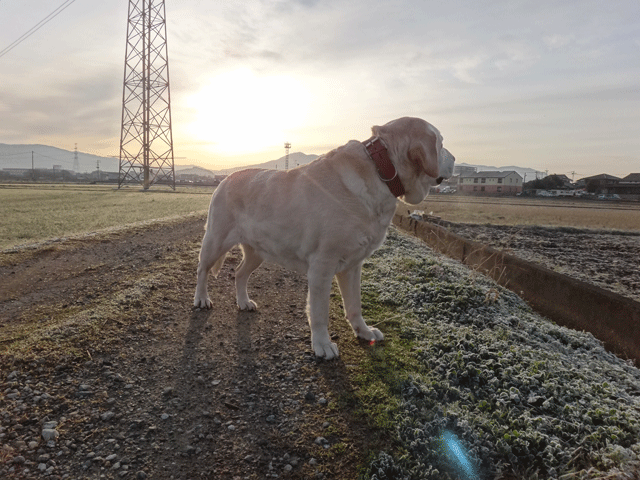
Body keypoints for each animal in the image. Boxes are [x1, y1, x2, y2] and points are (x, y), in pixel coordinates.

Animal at [192, 116, 452, 358]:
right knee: (202, 269)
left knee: (239, 273)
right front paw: (322, 345)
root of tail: (225, 178)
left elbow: (355, 305)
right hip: (216, 240)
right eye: (440, 143)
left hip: (258, 251)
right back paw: (202, 299)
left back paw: (244, 302)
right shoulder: (322, 265)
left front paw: (364, 331)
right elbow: (319, 312)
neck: (381, 169)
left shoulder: (353, 265)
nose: (454, 158)